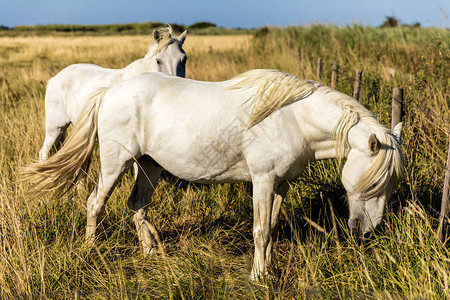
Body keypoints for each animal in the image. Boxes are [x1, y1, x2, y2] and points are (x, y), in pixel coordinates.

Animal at [23, 69, 404, 278]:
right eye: (373, 183)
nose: (367, 231)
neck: (293, 117)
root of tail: (109, 92)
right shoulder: (262, 180)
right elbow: (260, 230)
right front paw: (258, 276)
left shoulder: (280, 184)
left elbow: (272, 227)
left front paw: (266, 269)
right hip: (116, 162)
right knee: (94, 203)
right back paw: (92, 250)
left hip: (149, 165)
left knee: (137, 206)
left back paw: (149, 253)